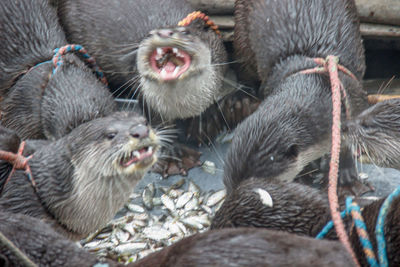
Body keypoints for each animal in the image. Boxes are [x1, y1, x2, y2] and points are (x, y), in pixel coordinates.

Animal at [223, 0, 368, 194]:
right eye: (228, 185)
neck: (311, 80)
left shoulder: (353, 99)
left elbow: (346, 145)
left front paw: (345, 178)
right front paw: (303, 176)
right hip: (241, 29)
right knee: (243, 64)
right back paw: (240, 100)